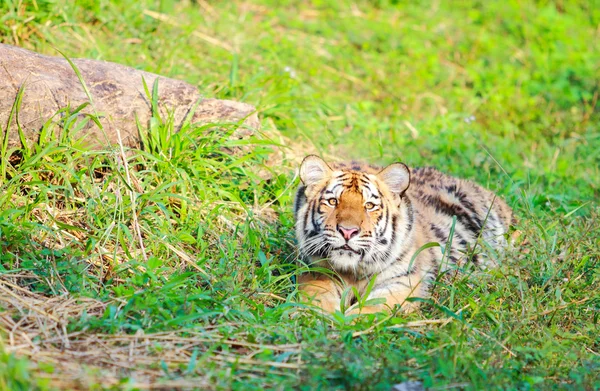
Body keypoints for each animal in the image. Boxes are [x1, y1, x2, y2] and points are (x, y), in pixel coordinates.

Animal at [292, 155, 512, 314]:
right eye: (332, 202)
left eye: (369, 206)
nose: (348, 231)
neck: (352, 272)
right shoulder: (314, 271)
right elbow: (317, 296)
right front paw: (324, 317)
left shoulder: (403, 282)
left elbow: (373, 307)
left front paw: (347, 322)